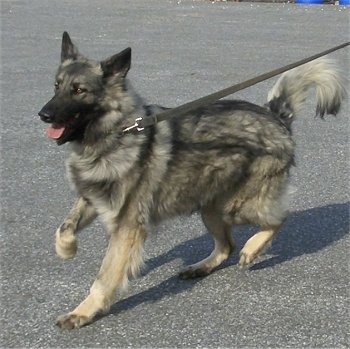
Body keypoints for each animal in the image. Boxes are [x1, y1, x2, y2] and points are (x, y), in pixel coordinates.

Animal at [39, 31, 346, 328]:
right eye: (56, 86)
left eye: (79, 90)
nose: (43, 115)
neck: (116, 133)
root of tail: (275, 115)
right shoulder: (92, 199)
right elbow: (63, 228)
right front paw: (67, 250)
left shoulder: (126, 226)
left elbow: (105, 276)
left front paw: (83, 312)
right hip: (210, 208)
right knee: (226, 245)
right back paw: (202, 267)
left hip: (239, 206)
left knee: (278, 219)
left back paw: (252, 249)